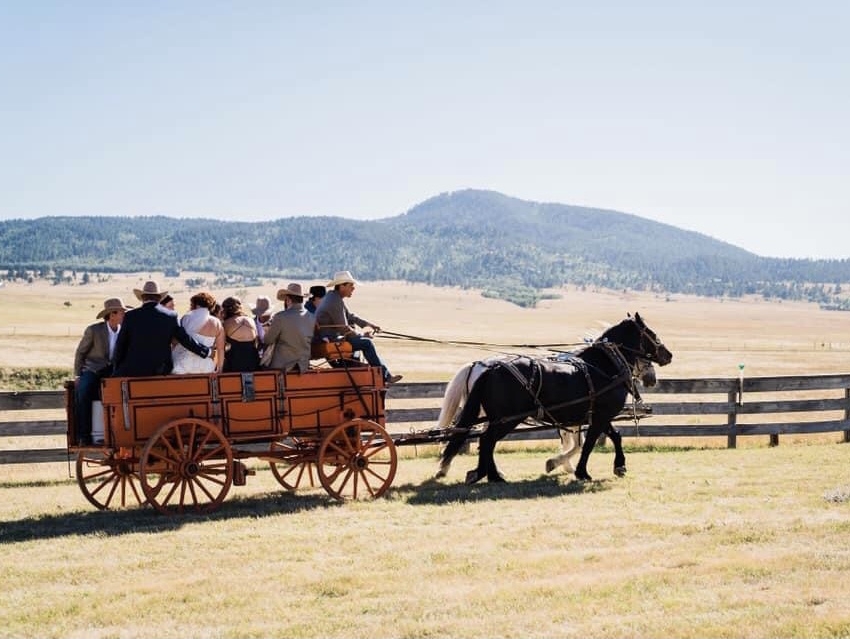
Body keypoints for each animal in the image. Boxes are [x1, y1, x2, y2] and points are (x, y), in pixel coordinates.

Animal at [434, 312, 672, 482]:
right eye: (651, 333)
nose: (668, 355)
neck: (603, 367)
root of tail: (488, 368)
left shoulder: (597, 415)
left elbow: (613, 436)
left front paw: (619, 466)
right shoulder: (599, 416)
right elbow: (587, 444)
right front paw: (580, 471)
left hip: (495, 418)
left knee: (484, 440)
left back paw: (482, 473)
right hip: (506, 419)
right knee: (486, 440)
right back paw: (490, 475)